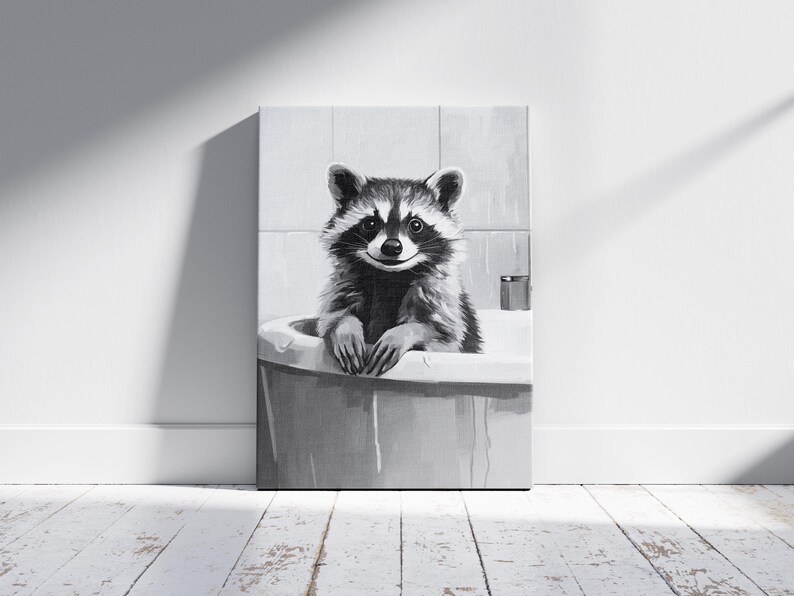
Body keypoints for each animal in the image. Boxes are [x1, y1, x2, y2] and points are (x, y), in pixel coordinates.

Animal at [317, 163, 482, 376]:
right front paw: (346, 327)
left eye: (416, 225)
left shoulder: (440, 296)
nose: (392, 247)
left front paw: (405, 332)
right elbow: (332, 318)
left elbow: (445, 337)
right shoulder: (345, 284)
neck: (389, 276)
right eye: (370, 223)